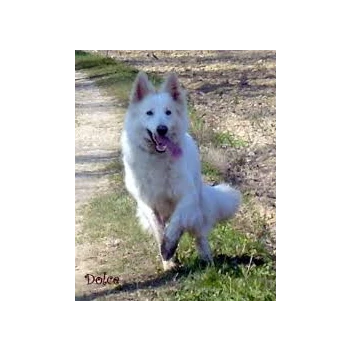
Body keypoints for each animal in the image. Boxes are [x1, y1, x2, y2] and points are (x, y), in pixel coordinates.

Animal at [121, 70, 241, 268]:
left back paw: (207, 259)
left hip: (197, 211)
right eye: (149, 113)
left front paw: (169, 246)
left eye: (168, 112)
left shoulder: (187, 198)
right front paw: (167, 258)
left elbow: (176, 224)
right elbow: (159, 230)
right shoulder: (147, 203)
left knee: (199, 236)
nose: (162, 129)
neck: (158, 158)